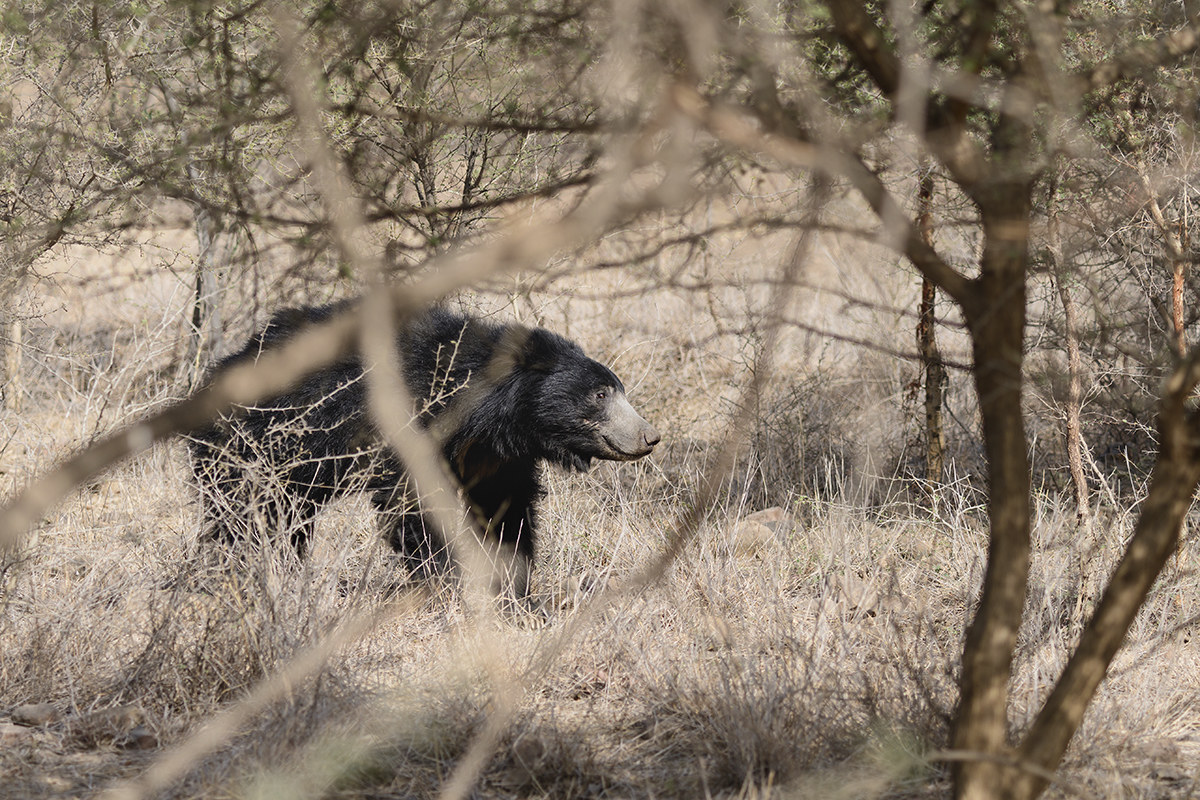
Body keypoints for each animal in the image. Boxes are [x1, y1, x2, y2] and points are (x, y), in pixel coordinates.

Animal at [188, 301, 661, 602]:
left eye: (616, 390)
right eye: (600, 395)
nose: (649, 437)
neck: (493, 416)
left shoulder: (493, 455)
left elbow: (505, 510)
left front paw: (513, 588)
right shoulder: (413, 426)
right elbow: (416, 509)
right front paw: (446, 585)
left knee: (284, 519)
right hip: (256, 443)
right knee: (244, 514)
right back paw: (232, 572)